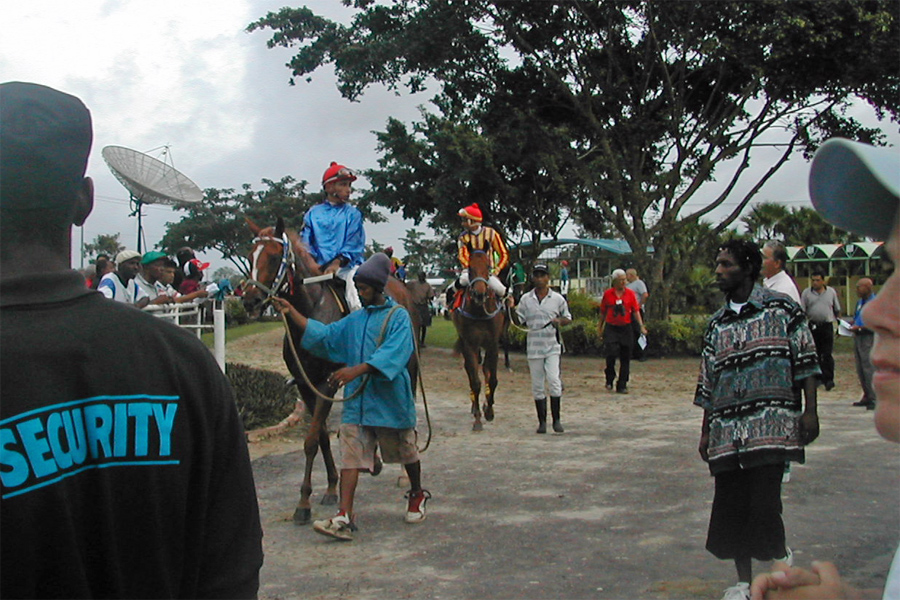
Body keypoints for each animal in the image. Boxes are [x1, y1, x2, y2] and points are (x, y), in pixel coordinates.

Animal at [243, 217, 418, 524]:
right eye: (250, 257)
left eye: (274, 257)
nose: (250, 301)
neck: (311, 312)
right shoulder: (306, 384)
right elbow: (321, 437)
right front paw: (331, 486)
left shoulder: (326, 382)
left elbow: (311, 440)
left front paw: (303, 503)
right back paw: (373, 461)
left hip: (406, 364)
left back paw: (404, 475)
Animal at [450, 250, 506, 432]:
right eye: (470, 268)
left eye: (488, 267)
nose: (479, 293)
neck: (480, 312)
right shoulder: (470, 344)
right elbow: (475, 381)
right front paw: (478, 420)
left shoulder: (493, 343)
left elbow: (492, 379)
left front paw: (489, 411)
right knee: (470, 371)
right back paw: (475, 407)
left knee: (486, 370)